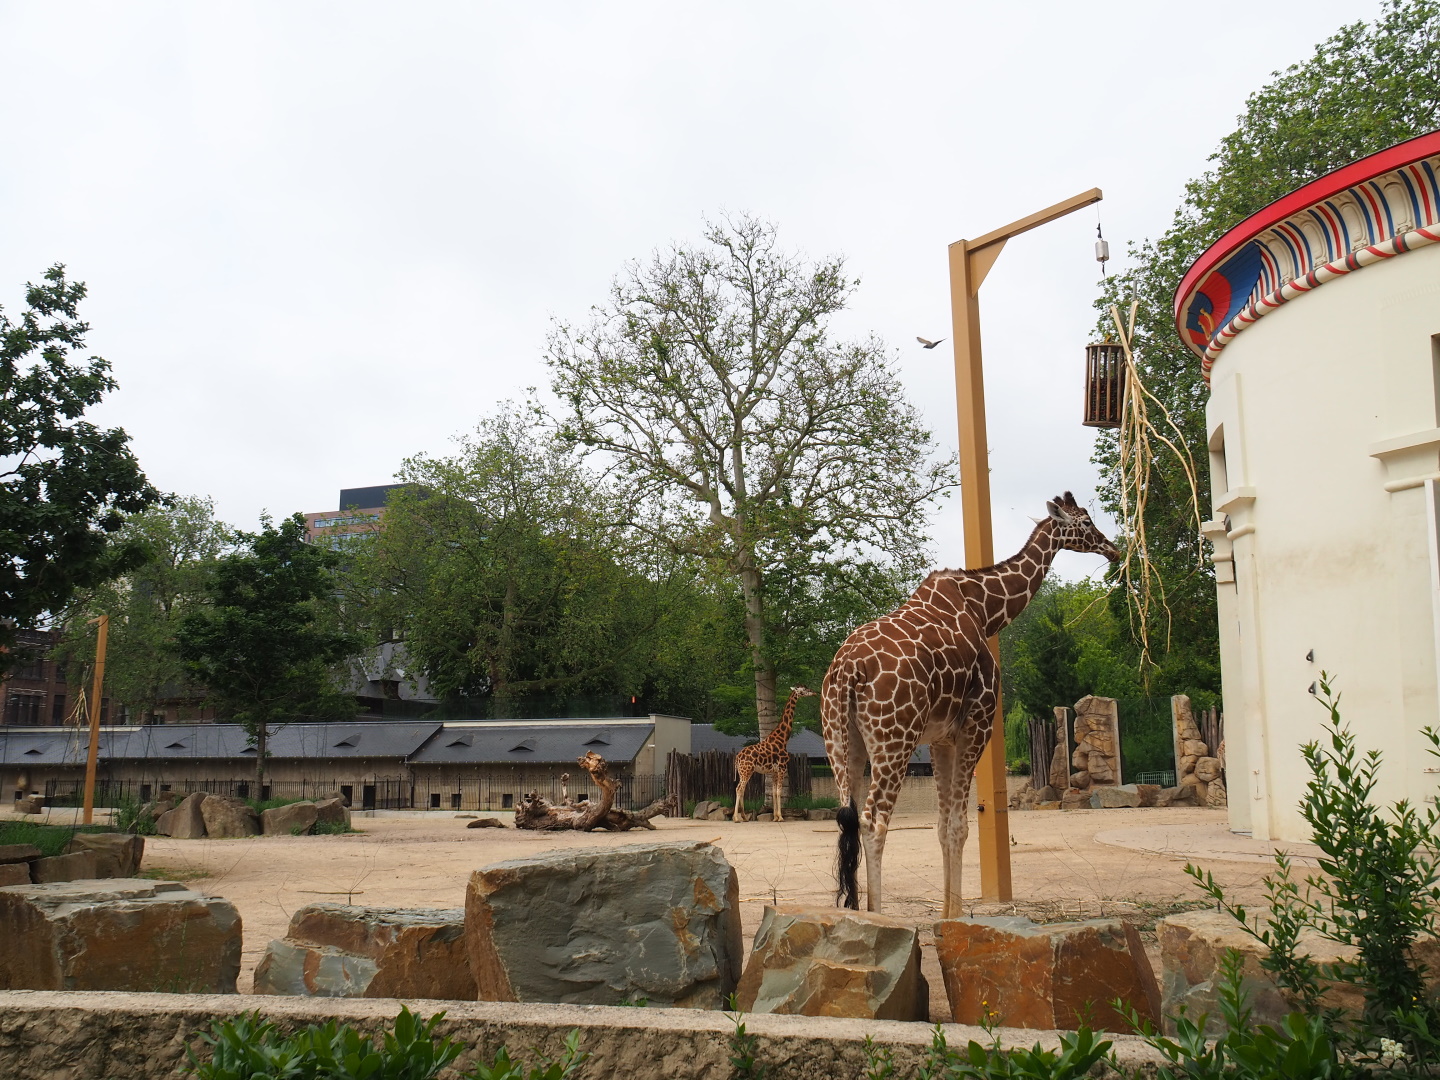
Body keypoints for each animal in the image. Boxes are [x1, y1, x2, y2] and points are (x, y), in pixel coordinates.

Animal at [733, 685, 816, 822]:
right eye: (804, 689)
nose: (814, 692)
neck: (783, 739)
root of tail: (737, 758)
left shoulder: (774, 771)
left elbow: (774, 792)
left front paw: (775, 817)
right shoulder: (782, 768)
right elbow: (779, 791)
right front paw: (781, 817)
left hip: (743, 772)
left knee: (741, 789)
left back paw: (744, 816)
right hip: (746, 771)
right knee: (739, 789)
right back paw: (736, 818)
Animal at [821, 492, 1119, 916]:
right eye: (1087, 522)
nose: (1113, 548)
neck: (986, 610)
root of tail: (848, 670)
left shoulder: (940, 738)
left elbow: (944, 826)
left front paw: (948, 916)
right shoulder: (978, 723)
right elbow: (960, 826)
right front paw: (956, 916)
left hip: (843, 742)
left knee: (848, 818)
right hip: (895, 740)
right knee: (874, 819)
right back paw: (879, 917)